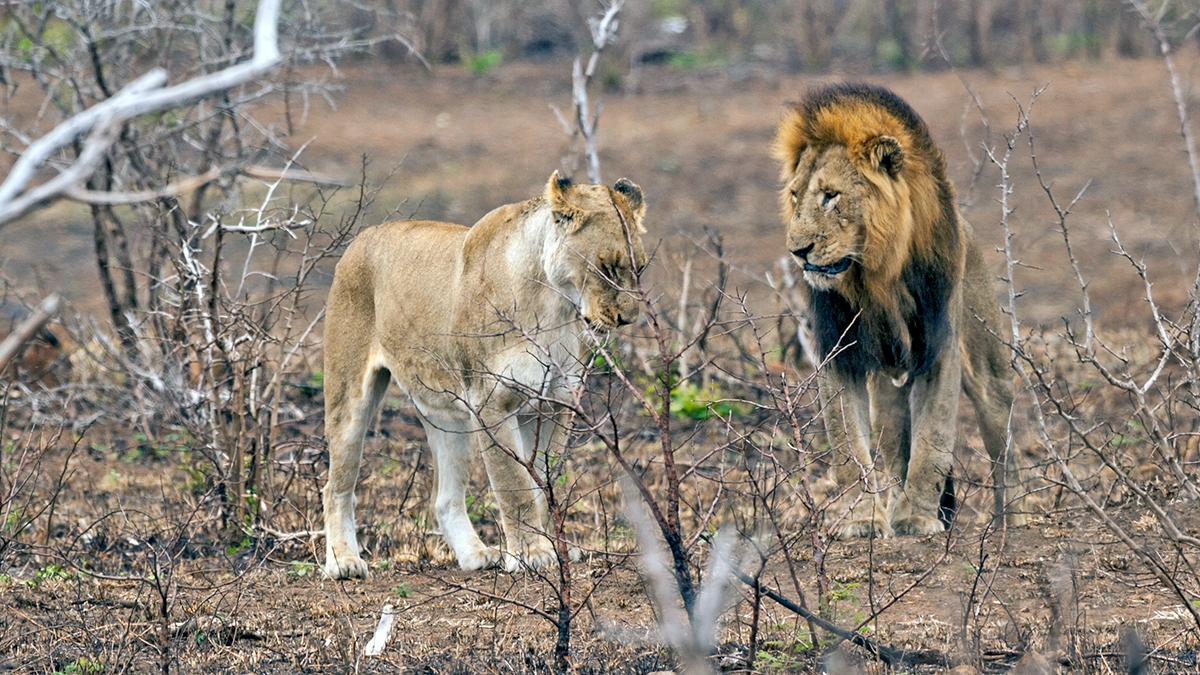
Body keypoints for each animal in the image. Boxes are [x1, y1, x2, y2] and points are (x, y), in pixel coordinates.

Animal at [321, 171, 648, 579]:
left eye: (640, 268)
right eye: (607, 266)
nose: (628, 319)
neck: (554, 305)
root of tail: (364, 236)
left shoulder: (556, 404)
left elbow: (544, 485)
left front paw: (550, 548)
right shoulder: (493, 402)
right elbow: (514, 484)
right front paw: (531, 555)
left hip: (449, 417)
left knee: (444, 499)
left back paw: (475, 555)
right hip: (349, 395)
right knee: (336, 486)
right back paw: (344, 562)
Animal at [773, 83, 1024, 538]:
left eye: (831, 196)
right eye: (795, 196)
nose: (797, 251)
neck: (875, 277)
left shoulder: (938, 348)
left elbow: (932, 441)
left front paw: (917, 518)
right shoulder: (839, 353)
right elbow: (847, 444)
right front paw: (863, 519)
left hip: (990, 372)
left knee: (1004, 448)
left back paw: (1009, 523)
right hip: (888, 394)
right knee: (893, 449)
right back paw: (891, 505)